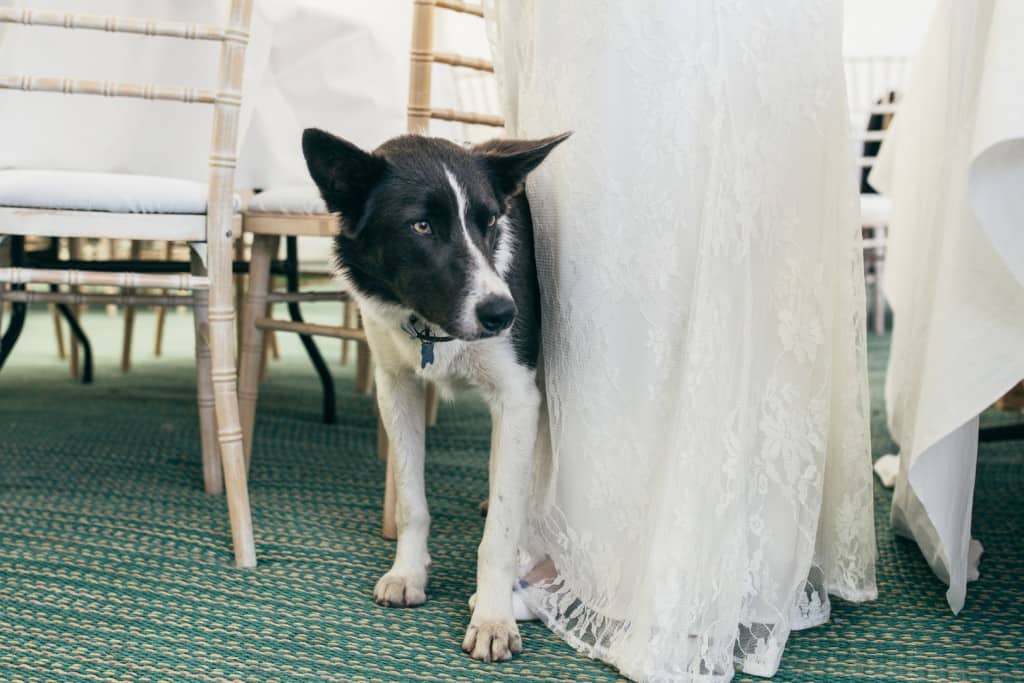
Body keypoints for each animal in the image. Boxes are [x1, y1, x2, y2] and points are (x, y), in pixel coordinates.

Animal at [299, 127, 569, 663]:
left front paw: (493, 616)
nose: (503, 314)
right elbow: (410, 501)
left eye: (490, 222)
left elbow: (499, 533)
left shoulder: (517, 397)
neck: (430, 326)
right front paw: (408, 572)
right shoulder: (395, 387)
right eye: (421, 226)